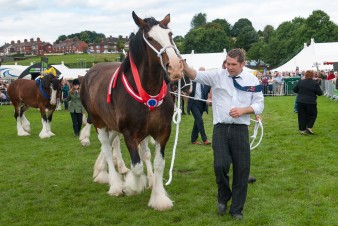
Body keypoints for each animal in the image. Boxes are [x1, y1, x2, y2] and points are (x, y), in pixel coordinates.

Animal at [79, 11, 184, 210]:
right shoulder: (129, 133)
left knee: (111, 144)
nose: (175, 67)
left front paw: (158, 197)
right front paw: (131, 186)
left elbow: (159, 163)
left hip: (112, 124)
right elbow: (136, 167)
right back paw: (114, 184)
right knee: (107, 148)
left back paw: (101, 170)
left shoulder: (163, 132)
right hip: (99, 122)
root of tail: (91, 71)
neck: (148, 91)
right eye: (150, 38)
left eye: (170, 34)